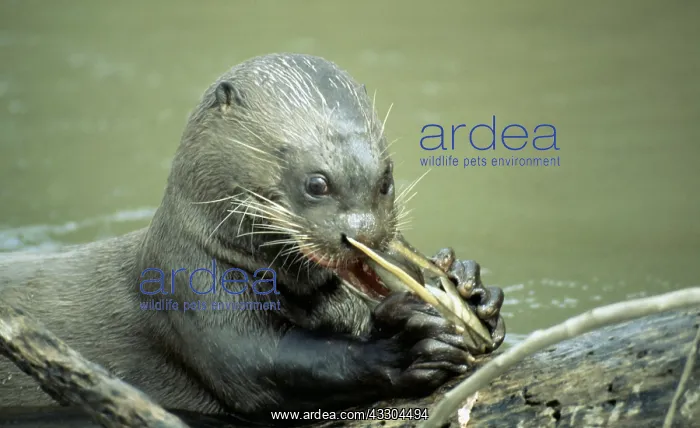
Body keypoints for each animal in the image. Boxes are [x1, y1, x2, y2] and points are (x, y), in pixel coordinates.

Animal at [0, 53, 505, 424]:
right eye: (317, 184)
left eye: (386, 180)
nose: (363, 233)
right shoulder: (188, 289)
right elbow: (264, 368)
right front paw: (408, 349)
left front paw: (471, 289)